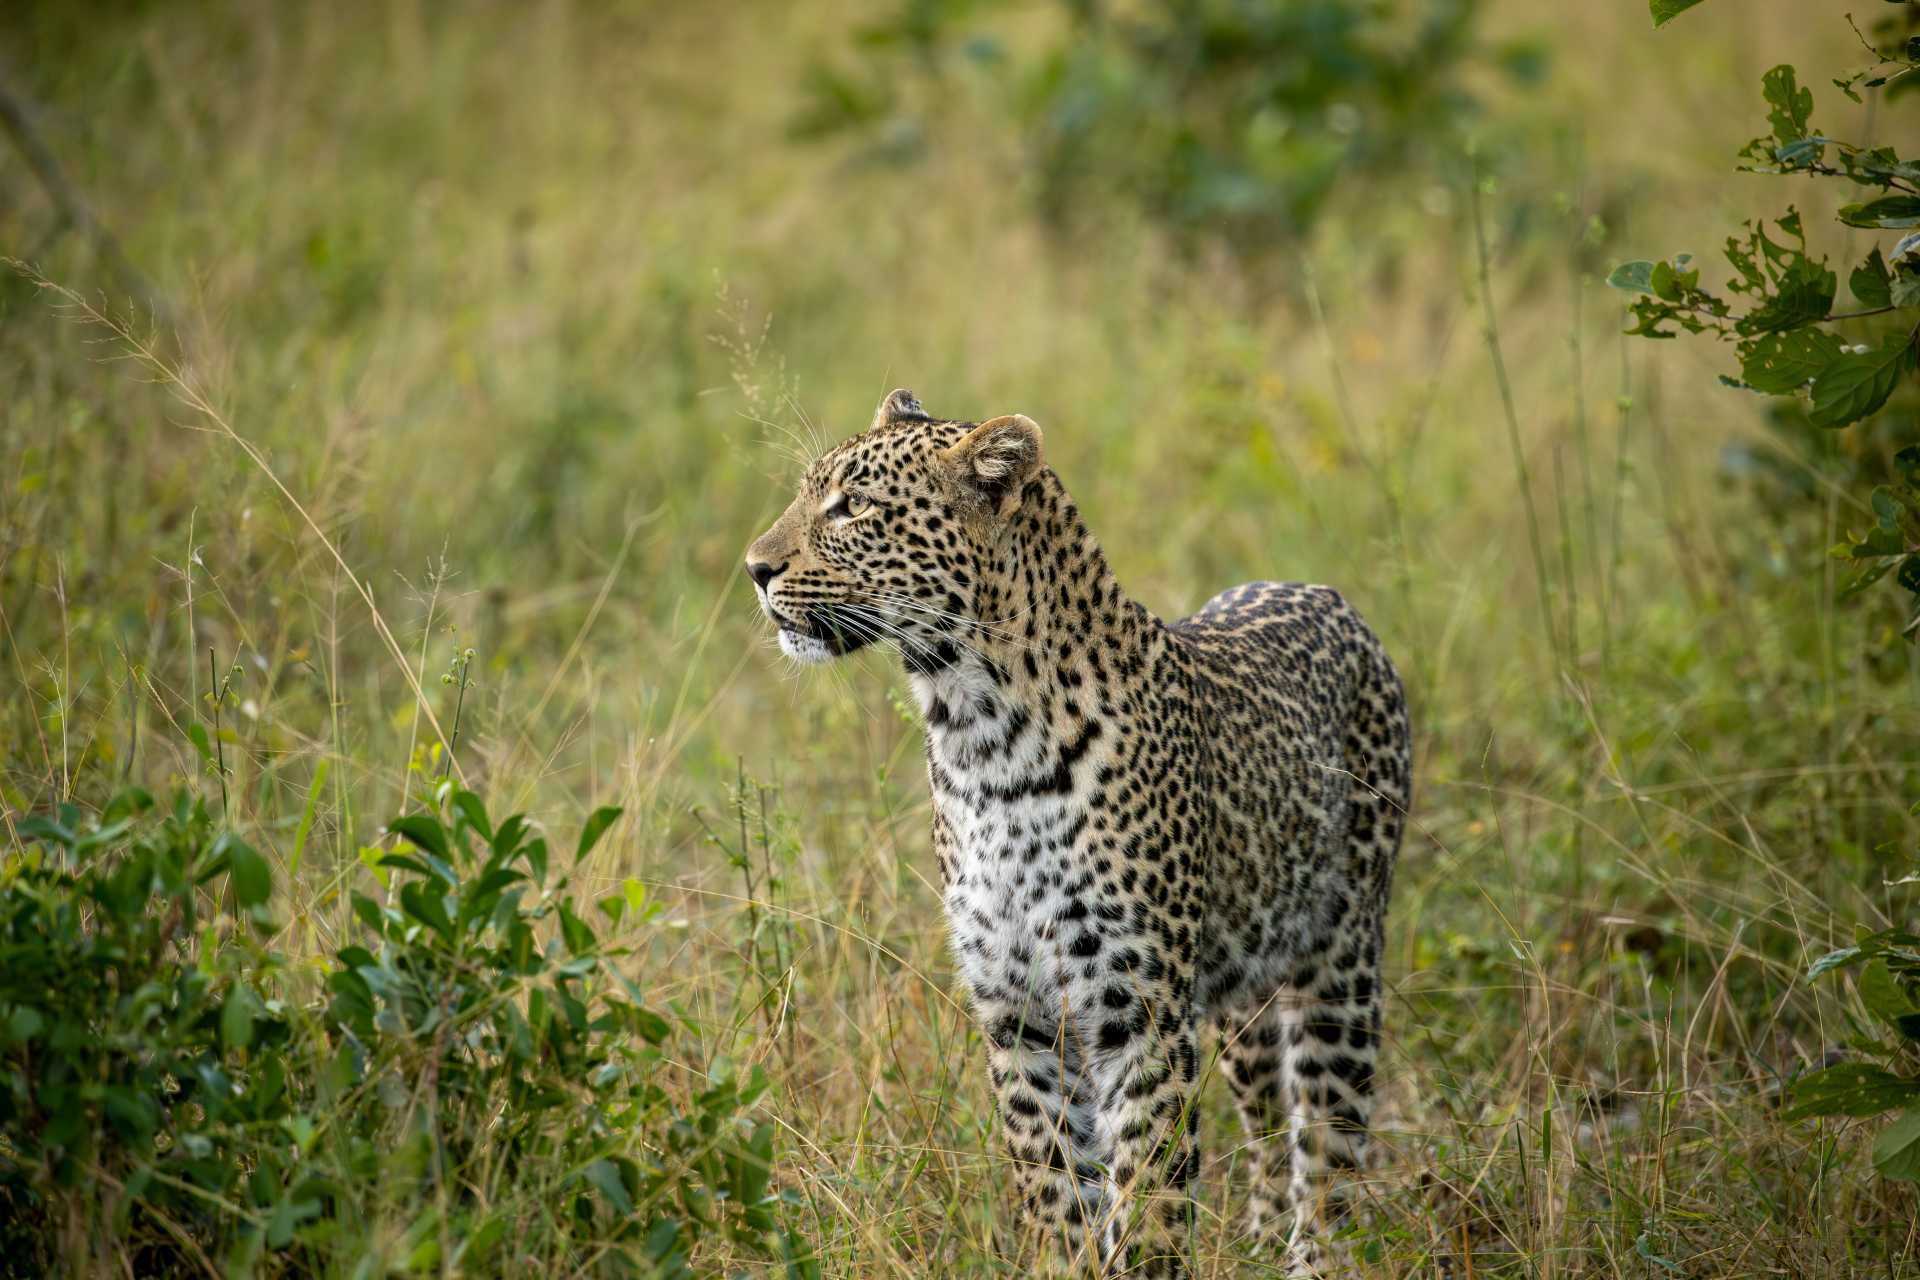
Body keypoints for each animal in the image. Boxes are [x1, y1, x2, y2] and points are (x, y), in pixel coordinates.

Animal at [744, 389, 1411, 1276]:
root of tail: (1330, 596)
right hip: (1243, 986)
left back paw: (1316, 1255)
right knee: (1269, 1125)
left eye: (853, 507)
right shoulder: (1017, 1011)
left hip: (1340, 963)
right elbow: (1055, 1185)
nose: (754, 567)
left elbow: (1150, 1193)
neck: (978, 738)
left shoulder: (1140, 1011)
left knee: (1331, 1150)